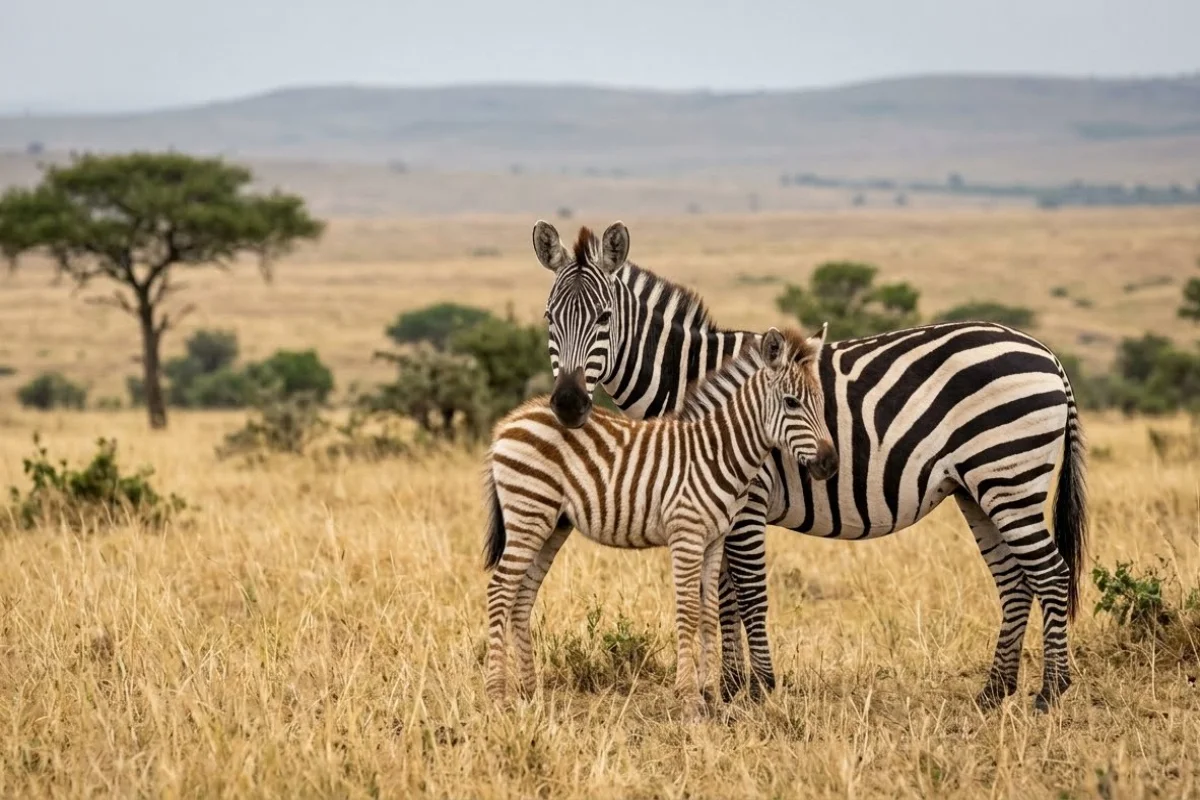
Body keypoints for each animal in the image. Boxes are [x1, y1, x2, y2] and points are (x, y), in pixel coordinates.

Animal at [482, 327, 837, 717]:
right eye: (791, 403)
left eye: (820, 402)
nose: (830, 464)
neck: (718, 453)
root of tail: (511, 420)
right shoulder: (686, 534)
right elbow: (688, 611)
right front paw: (690, 699)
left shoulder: (714, 539)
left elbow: (709, 612)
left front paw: (710, 695)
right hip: (528, 512)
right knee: (500, 590)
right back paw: (496, 696)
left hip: (552, 524)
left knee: (521, 596)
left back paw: (531, 694)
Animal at [532, 219, 1088, 712]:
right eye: (548, 319)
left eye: (604, 317)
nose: (568, 405)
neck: (696, 380)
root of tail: (1046, 354)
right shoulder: (717, 502)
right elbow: (726, 596)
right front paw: (731, 687)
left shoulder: (748, 501)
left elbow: (750, 594)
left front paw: (760, 688)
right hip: (977, 488)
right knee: (1015, 581)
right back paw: (995, 692)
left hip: (1009, 476)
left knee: (1051, 574)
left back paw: (1050, 692)